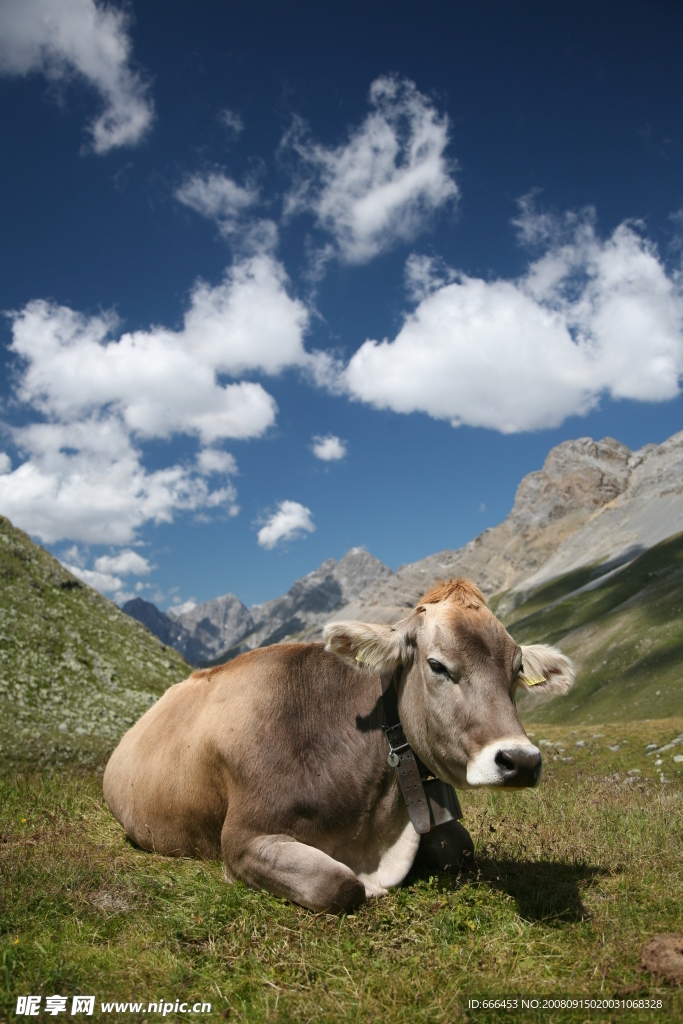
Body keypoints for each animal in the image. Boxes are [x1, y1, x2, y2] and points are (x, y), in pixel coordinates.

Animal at [102, 577, 573, 913]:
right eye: (438, 665)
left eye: (516, 670)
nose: (521, 761)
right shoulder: (243, 839)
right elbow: (340, 885)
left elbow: (461, 848)